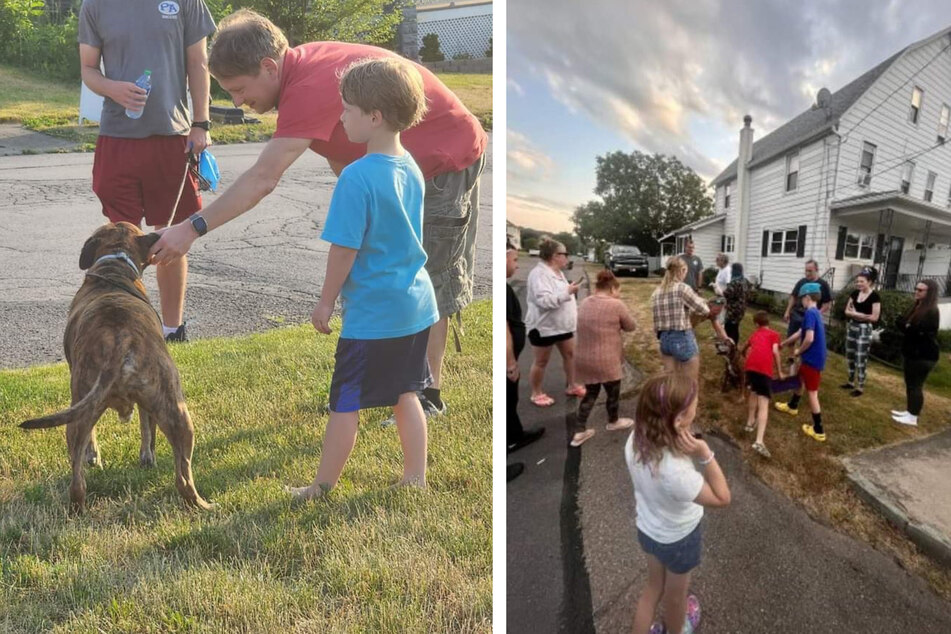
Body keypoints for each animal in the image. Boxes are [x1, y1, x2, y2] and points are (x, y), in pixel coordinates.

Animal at [20, 221, 211, 508]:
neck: (115, 262)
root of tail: (122, 339)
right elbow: (147, 429)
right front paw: (147, 458)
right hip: (178, 413)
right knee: (184, 478)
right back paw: (203, 504)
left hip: (80, 411)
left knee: (78, 478)